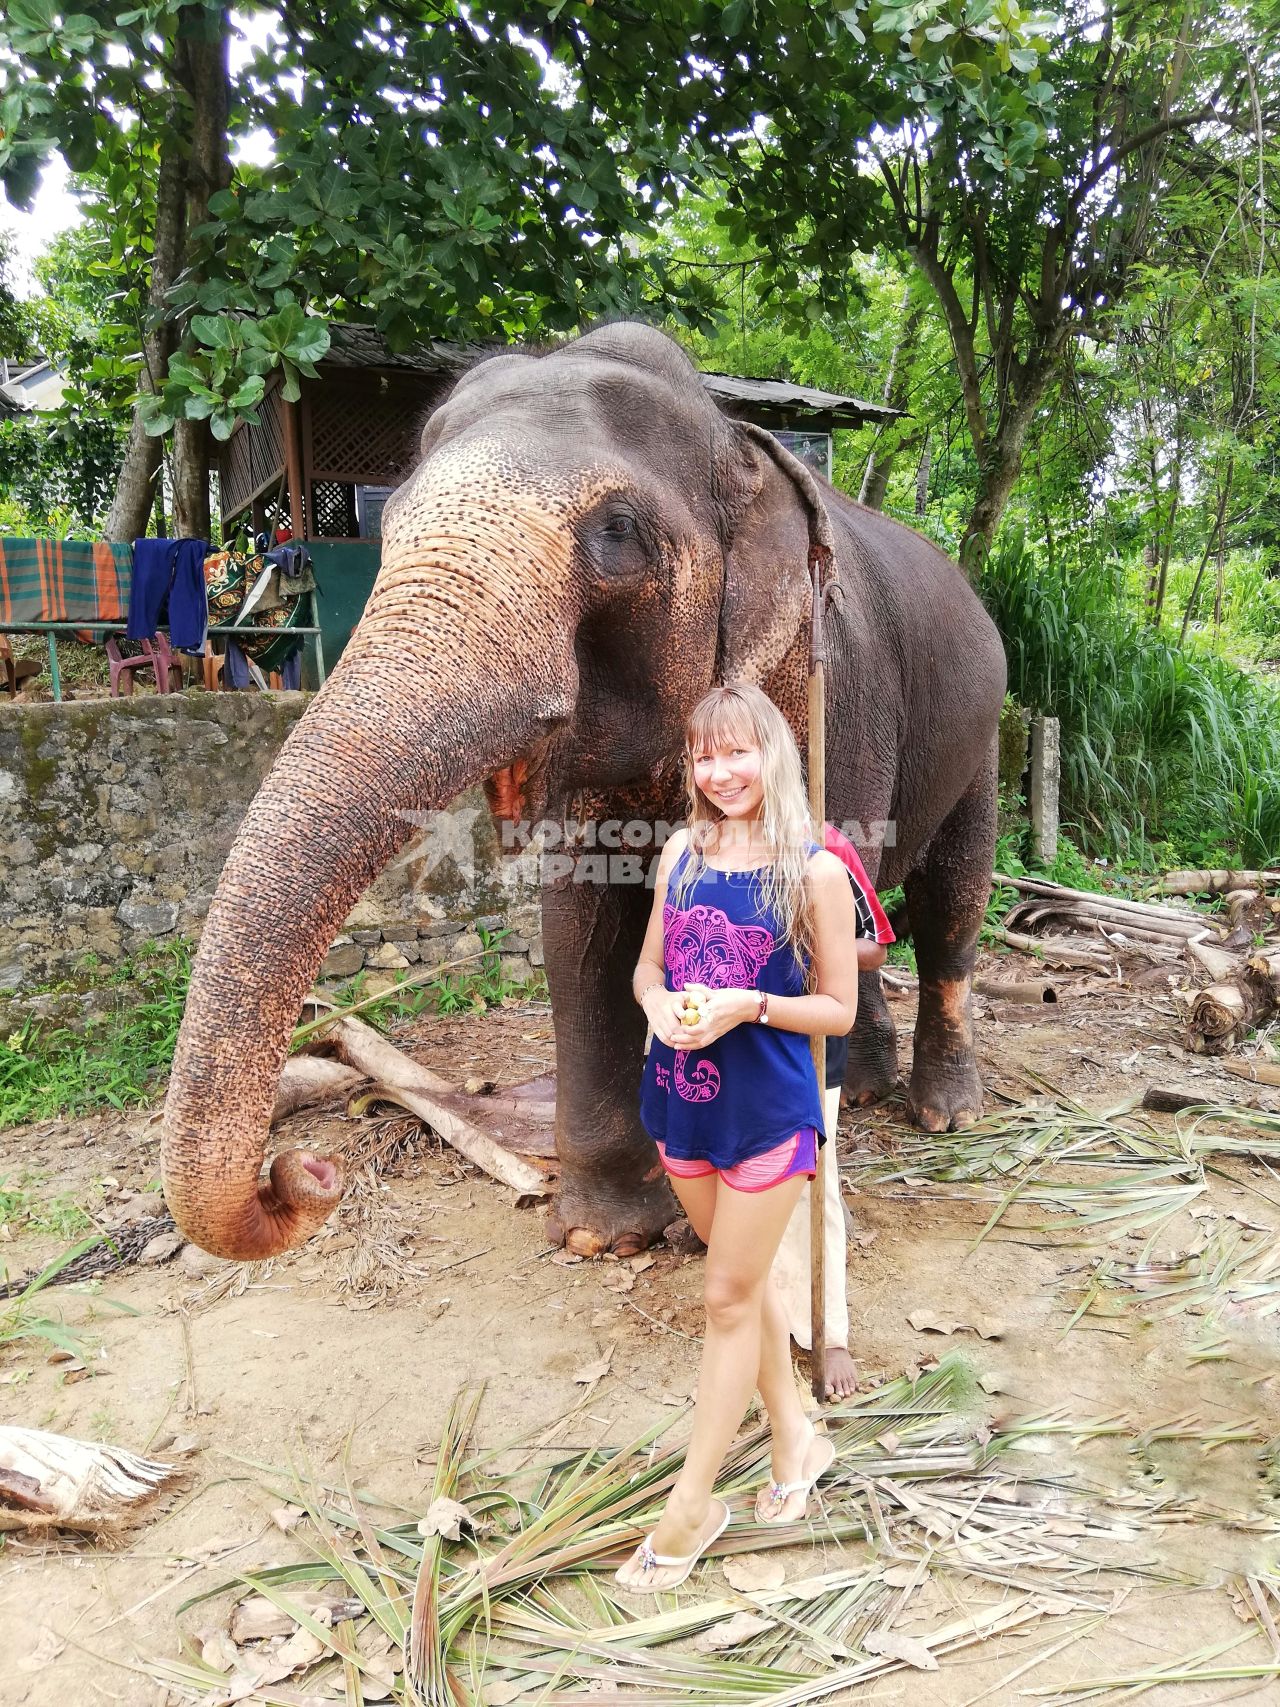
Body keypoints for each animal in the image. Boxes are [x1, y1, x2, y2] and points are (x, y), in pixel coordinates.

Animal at [160, 320, 1010, 1263]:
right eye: (390, 529)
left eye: (618, 532)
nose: (303, 1171)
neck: (732, 441)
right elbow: (582, 929)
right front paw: (605, 1236)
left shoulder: (833, 697)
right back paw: (862, 1091)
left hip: (986, 731)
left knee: (950, 902)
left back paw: (944, 1114)